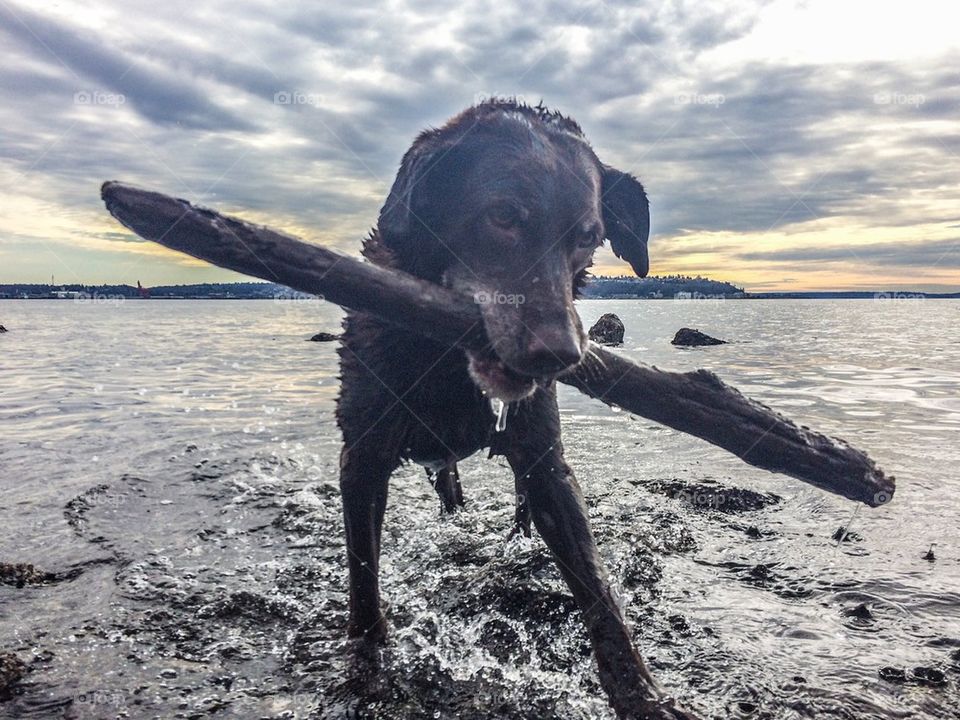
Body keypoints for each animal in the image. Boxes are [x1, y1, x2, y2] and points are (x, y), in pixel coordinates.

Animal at [338, 98, 696, 716]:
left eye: (588, 236)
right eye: (502, 215)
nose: (560, 354)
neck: (445, 360)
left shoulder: (543, 455)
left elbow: (597, 588)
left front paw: (642, 695)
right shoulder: (360, 456)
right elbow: (364, 585)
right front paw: (368, 666)